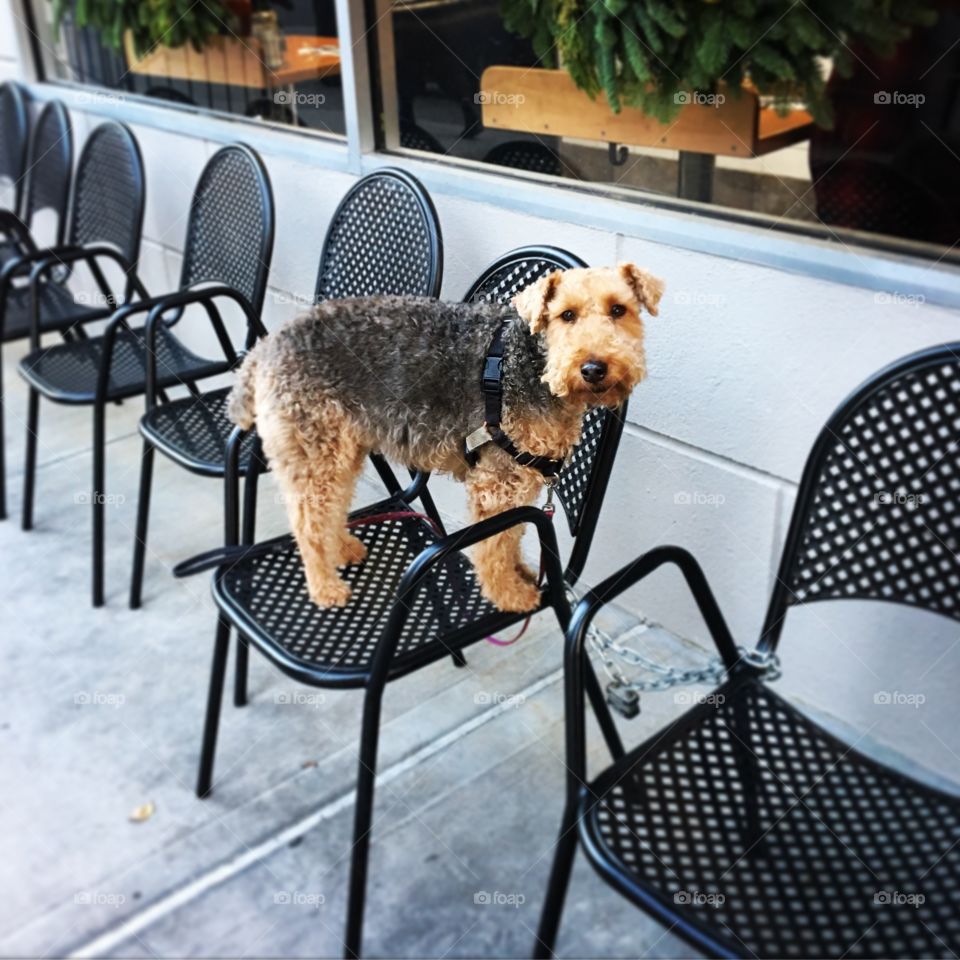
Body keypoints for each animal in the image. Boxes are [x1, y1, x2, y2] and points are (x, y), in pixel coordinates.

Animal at [229, 262, 664, 612]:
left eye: (618, 309)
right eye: (566, 315)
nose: (593, 368)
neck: (531, 364)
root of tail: (266, 348)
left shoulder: (519, 482)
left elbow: (512, 536)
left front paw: (522, 573)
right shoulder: (498, 484)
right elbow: (493, 546)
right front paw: (510, 594)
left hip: (340, 450)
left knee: (329, 509)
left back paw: (344, 549)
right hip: (316, 450)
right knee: (307, 521)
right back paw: (325, 588)